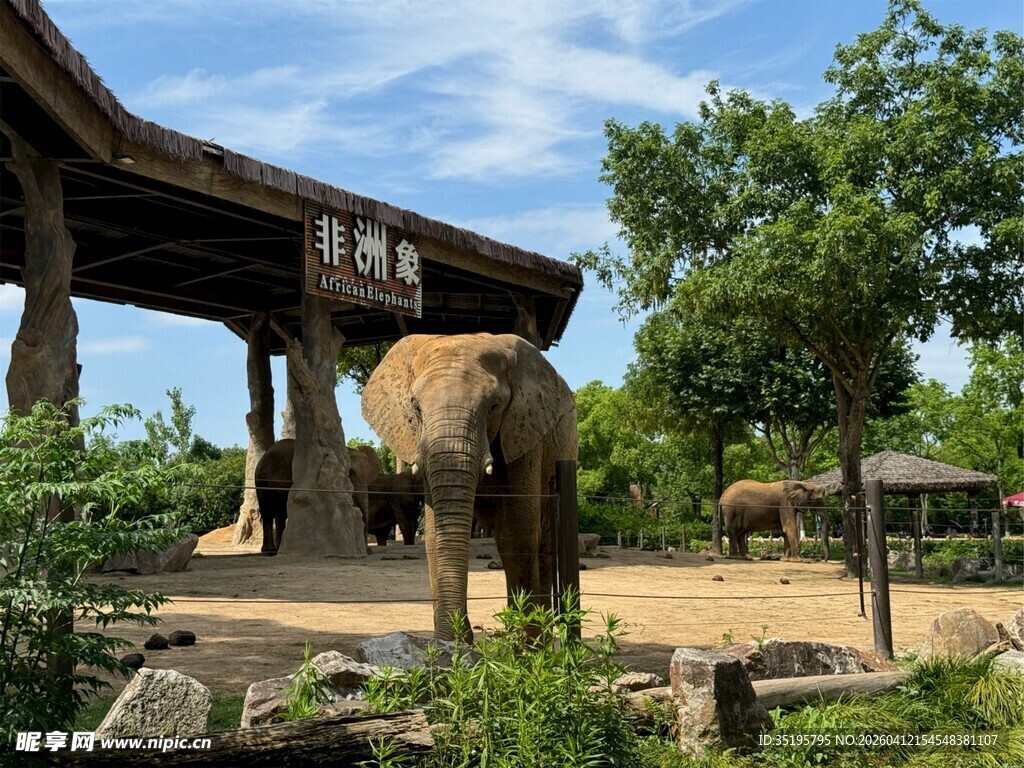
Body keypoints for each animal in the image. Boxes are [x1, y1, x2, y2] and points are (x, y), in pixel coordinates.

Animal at [362, 333, 577, 640]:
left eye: (494, 406)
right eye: (416, 406)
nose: (457, 638)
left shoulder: (524, 430)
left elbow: (517, 531)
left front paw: (527, 644)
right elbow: (435, 535)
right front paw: (451, 642)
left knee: (543, 541)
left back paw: (542, 634)